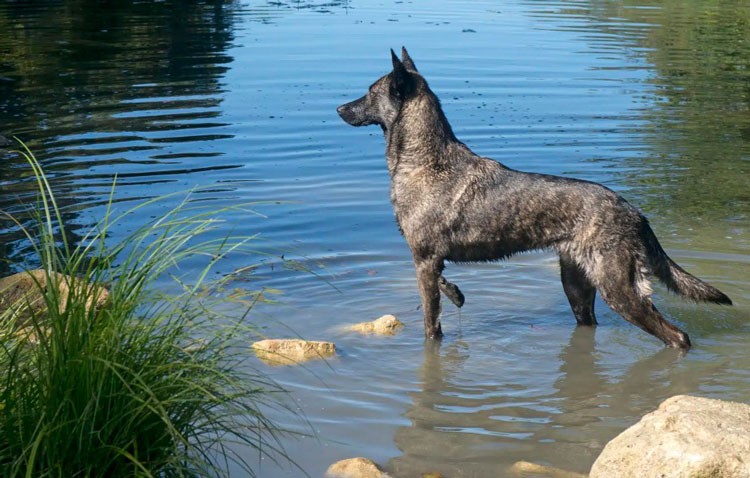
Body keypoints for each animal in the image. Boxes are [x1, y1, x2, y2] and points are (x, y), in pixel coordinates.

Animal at [336, 47, 736, 348]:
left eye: (370, 91)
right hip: (576, 288)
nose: (340, 109)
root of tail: (634, 211)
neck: (425, 159)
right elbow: (446, 287)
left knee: (678, 337)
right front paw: (457, 293)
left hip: (619, 290)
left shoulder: (423, 261)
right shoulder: (433, 262)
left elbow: (431, 323)